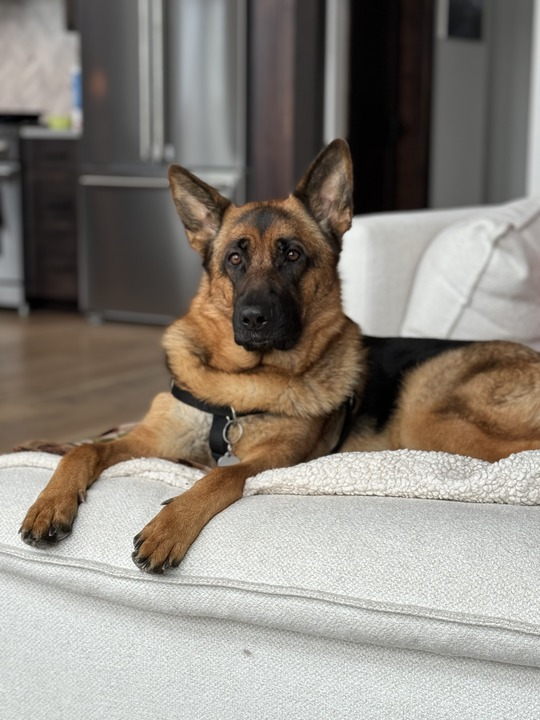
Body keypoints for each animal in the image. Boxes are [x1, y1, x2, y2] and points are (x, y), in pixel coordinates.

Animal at [19, 138, 540, 572]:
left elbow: (219, 478)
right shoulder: (152, 440)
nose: (253, 319)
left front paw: (170, 525)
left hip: (429, 418)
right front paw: (49, 498)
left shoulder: (271, 460)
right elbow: (85, 448)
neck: (238, 388)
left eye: (292, 255)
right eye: (234, 258)